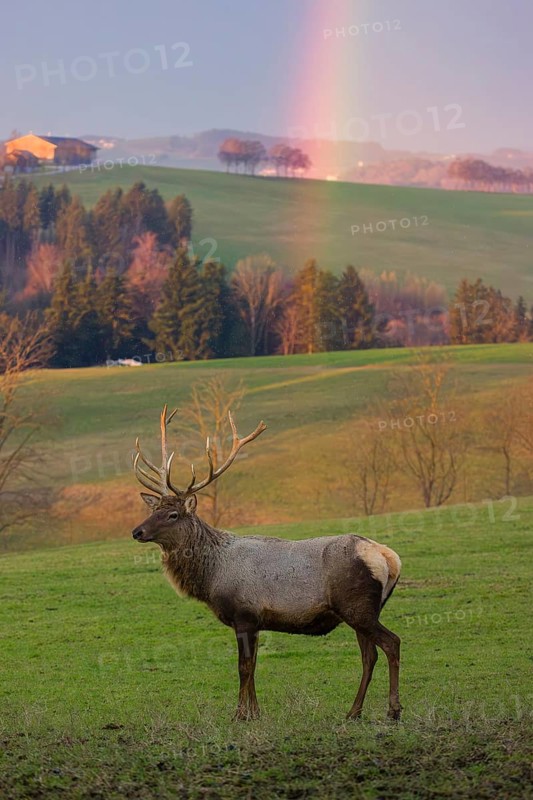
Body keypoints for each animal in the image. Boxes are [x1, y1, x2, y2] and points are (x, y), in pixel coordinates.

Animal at [131, 405, 402, 722]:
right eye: (154, 510)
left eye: (172, 514)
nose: (137, 531)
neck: (211, 576)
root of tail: (389, 558)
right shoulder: (256, 622)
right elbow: (254, 667)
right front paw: (256, 712)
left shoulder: (244, 614)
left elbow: (243, 667)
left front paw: (239, 714)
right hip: (365, 610)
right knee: (369, 655)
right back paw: (354, 711)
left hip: (358, 607)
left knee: (391, 643)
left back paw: (393, 710)